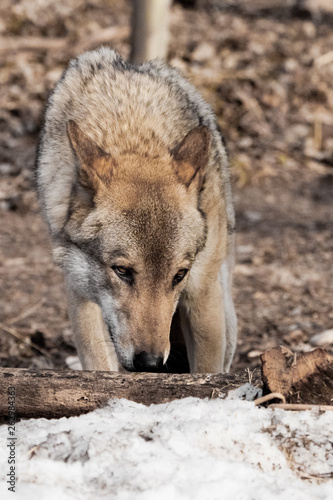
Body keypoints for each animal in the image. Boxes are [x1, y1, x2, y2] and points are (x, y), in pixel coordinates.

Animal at [36, 47, 236, 372]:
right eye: (122, 271)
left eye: (179, 275)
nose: (150, 363)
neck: (134, 135)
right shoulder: (79, 291)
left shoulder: (201, 292)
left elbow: (206, 373)